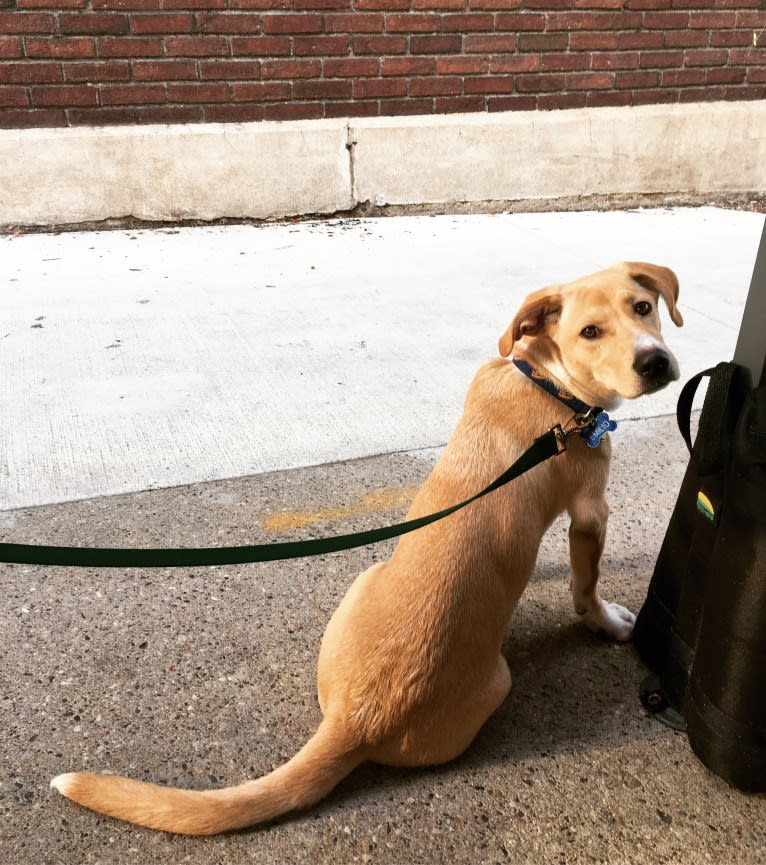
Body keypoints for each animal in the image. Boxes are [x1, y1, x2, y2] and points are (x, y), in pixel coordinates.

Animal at [49, 260, 684, 832]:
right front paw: (607, 622)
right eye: (590, 332)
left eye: (642, 308)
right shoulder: (592, 511)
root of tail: (357, 721)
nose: (655, 362)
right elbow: (587, 586)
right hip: (482, 667)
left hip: (362, 583)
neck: (544, 378)